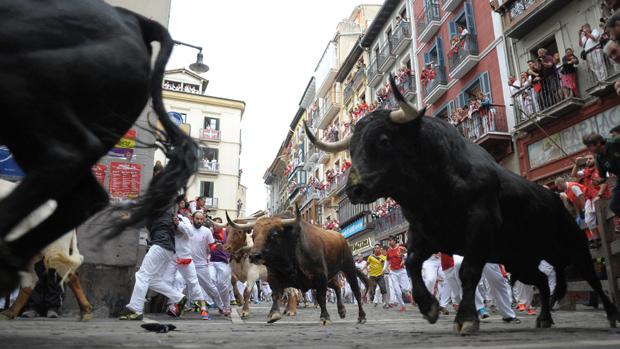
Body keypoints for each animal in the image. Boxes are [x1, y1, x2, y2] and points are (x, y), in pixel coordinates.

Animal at [306, 75, 620, 334]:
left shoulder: (480, 227)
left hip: (573, 247)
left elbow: (468, 271)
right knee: (542, 280)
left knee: (591, 278)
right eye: (352, 149)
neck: (433, 185)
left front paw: (466, 318)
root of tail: (556, 199)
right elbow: (411, 263)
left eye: (383, 140)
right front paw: (429, 307)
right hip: (519, 258)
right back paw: (543, 318)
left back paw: (610, 314)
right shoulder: (424, 233)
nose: (354, 189)